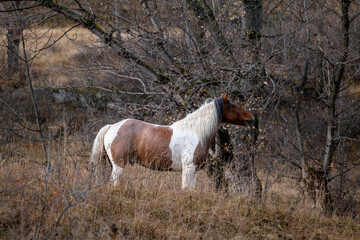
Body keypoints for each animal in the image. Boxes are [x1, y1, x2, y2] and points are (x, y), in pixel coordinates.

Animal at [89, 93, 253, 189]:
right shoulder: (188, 168)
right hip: (119, 165)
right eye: (233, 105)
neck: (197, 133)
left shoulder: (195, 171)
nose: (250, 118)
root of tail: (111, 126)